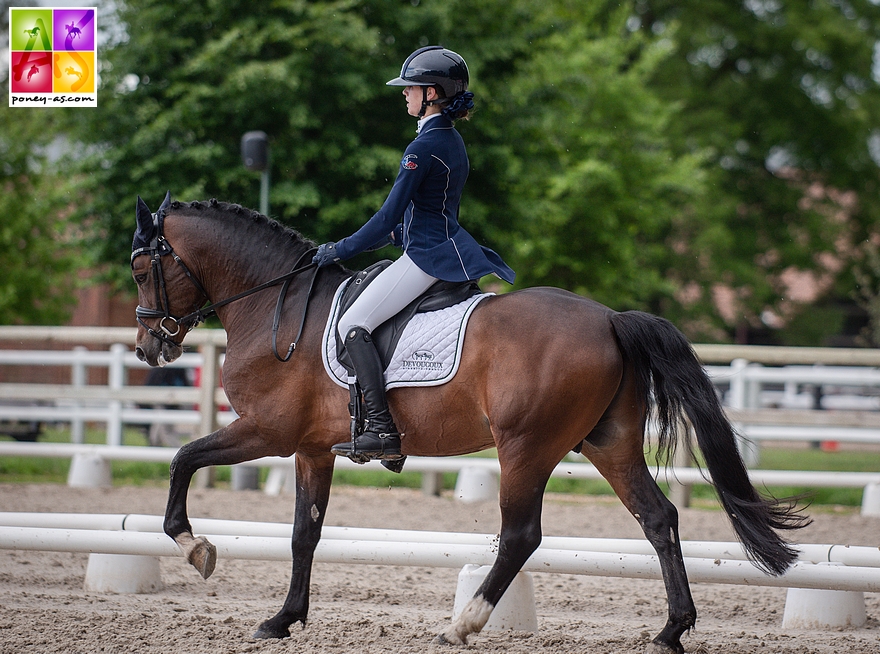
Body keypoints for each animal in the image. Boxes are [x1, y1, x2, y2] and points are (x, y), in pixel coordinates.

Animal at [131, 195, 812, 654]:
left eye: (141, 269)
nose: (148, 349)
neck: (277, 304)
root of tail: (610, 318)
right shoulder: (310, 449)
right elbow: (304, 534)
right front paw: (281, 620)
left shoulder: (266, 432)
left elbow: (183, 459)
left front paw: (196, 548)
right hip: (609, 444)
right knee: (658, 518)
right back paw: (671, 629)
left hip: (526, 448)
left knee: (521, 536)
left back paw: (463, 623)